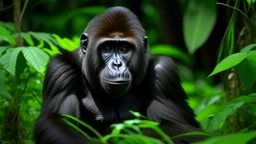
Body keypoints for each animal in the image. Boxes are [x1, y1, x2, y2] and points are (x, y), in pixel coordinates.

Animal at [34, 5, 202, 144]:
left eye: (124, 48)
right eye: (107, 47)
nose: (117, 64)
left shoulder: (164, 72)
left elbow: (172, 125)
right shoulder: (61, 71)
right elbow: (57, 122)